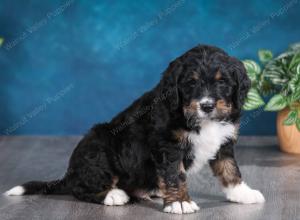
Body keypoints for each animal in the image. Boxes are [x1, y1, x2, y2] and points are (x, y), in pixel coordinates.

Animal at [4, 45, 264, 215]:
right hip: (99, 145)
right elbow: (175, 174)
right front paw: (179, 202)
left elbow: (230, 169)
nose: (207, 105)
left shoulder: (224, 141)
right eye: (191, 83)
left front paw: (242, 193)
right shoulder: (167, 145)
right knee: (82, 188)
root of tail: (70, 174)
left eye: (222, 82)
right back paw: (114, 194)